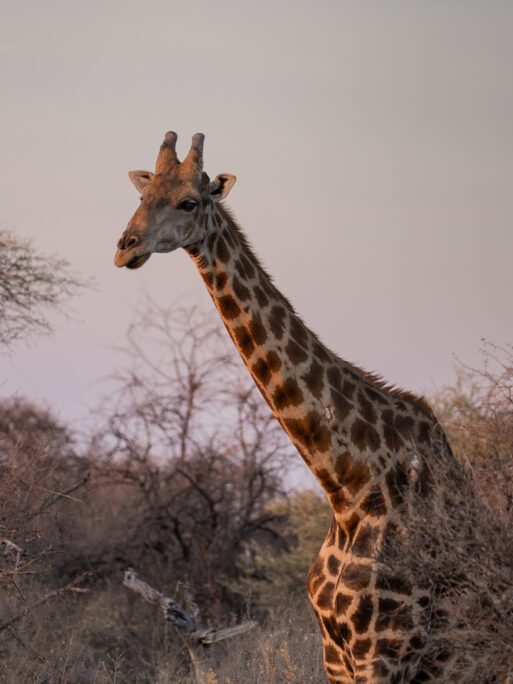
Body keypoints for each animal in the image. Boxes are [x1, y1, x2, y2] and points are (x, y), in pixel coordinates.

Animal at [114, 131, 454, 680]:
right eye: (142, 195)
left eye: (189, 201)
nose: (125, 248)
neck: (350, 489)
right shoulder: (335, 653)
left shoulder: (384, 651)